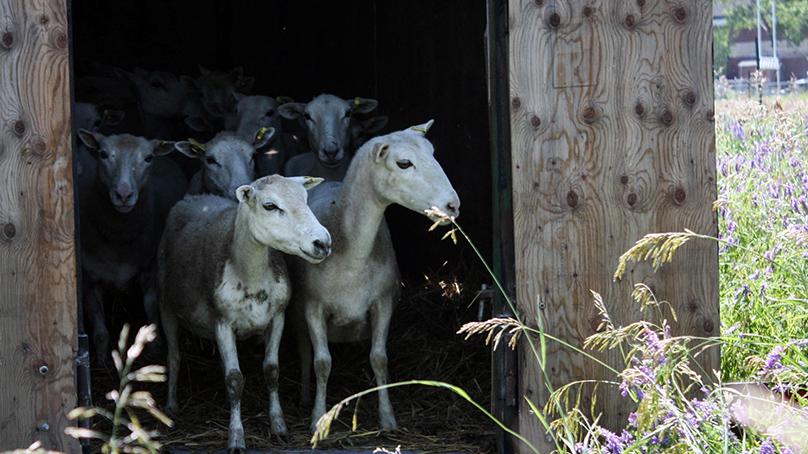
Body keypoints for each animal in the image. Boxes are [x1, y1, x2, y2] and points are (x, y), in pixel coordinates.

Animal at [156, 176, 332, 448]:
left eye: (305, 198)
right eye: (270, 206)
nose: (322, 243)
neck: (251, 275)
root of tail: (196, 197)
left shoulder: (277, 317)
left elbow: (272, 371)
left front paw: (279, 426)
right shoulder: (222, 322)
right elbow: (234, 380)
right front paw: (236, 437)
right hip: (165, 304)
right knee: (174, 356)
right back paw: (172, 406)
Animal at [290, 119, 460, 430]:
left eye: (433, 153)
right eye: (403, 163)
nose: (452, 206)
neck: (353, 254)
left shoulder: (383, 302)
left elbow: (379, 358)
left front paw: (387, 417)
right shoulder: (312, 307)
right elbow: (322, 362)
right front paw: (318, 417)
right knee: (305, 353)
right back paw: (305, 396)